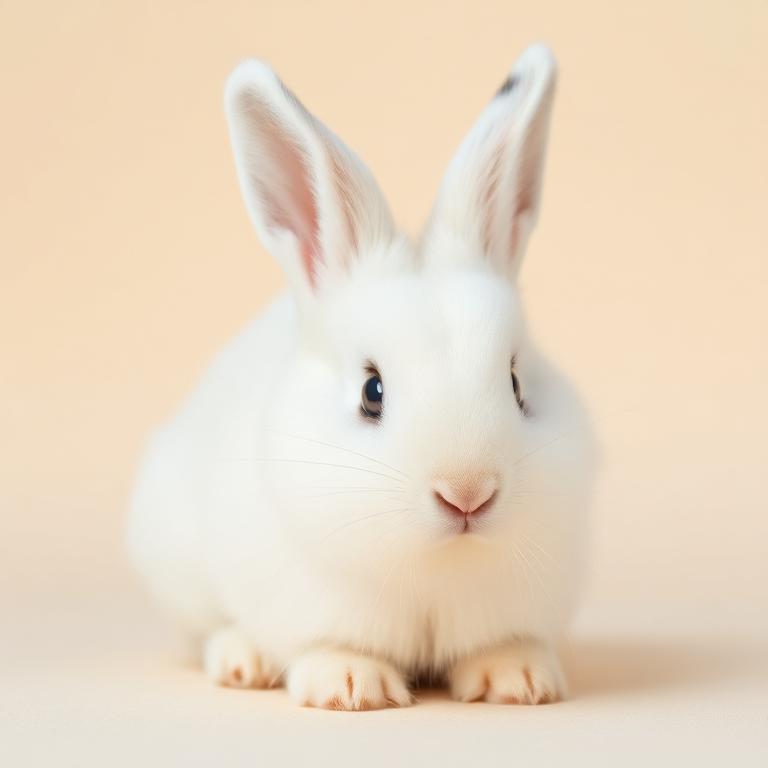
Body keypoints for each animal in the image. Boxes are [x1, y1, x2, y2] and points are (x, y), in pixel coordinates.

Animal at [127, 43, 596, 710]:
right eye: (372, 392)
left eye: (515, 383)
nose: (467, 493)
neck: (437, 568)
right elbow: (330, 645)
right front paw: (352, 687)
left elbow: (502, 643)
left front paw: (521, 682)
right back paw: (242, 662)